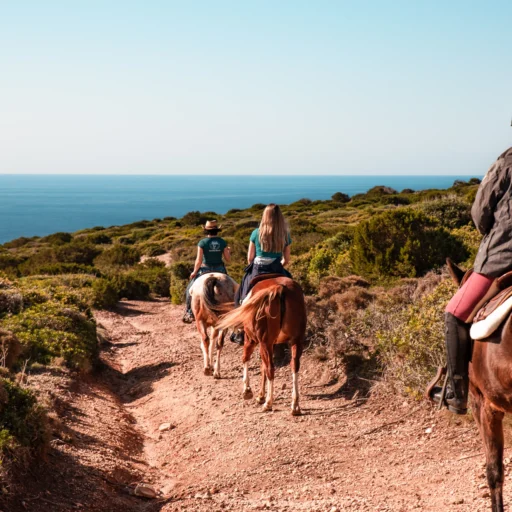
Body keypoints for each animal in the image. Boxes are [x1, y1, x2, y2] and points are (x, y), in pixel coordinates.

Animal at [218, 276, 306, 416]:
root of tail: (279, 288)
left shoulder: (251, 340)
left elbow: (246, 359)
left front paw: (248, 391)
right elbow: (262, 366)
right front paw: (260, 395)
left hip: (264, 342)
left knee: (270, 368)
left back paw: (268, 403)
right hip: (295, 341)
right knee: (294, 366)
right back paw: (295, 406)